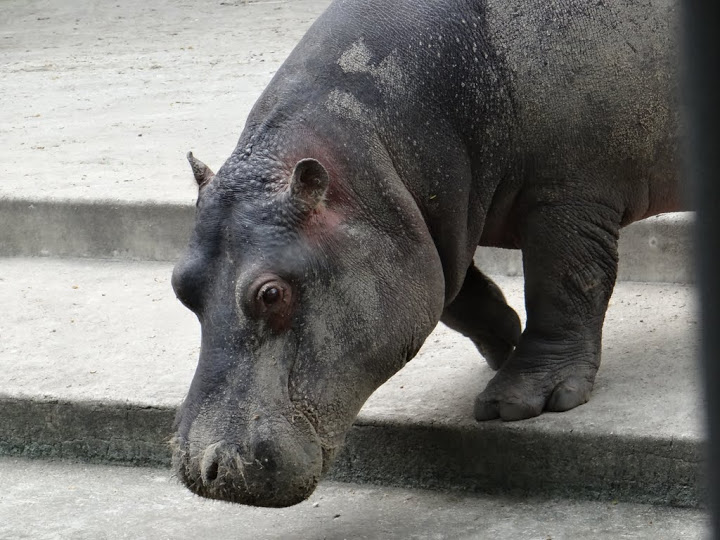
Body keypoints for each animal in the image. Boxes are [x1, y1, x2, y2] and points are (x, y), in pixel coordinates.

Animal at [171, 0, 683, 506]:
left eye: (271, 293)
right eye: (178, 284)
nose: (207, 469)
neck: (368, 149)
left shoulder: (568, 197)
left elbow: (566, 285)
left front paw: (516, 403)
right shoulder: (426, 225)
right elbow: (458, 298)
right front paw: (505, 346)